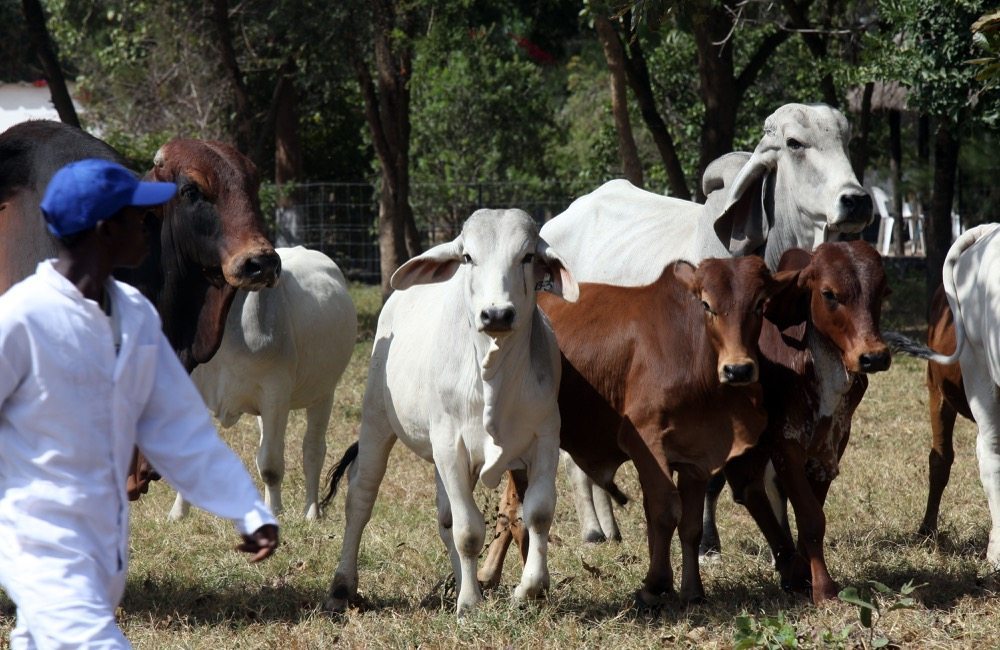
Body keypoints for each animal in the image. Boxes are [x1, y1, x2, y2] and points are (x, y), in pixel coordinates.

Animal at [163, 247, 357, 521]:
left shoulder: (275, 392)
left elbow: (271, 466)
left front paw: (274, 512)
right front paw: (178, 513)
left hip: (323, 393)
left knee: (312, 450)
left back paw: (311, 512)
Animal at [322, 209, 578, 616]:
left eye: (527, 257)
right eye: (468, 257)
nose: (496, 314)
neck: (493, 375)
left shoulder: (545, 438)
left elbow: (537, 512)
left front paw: (528, 589)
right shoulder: (449, 445)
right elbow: (469, 530)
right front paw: (470, 603)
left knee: (445, 516)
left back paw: (461, 582)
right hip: (377, 418)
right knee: (361, 496)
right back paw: (342, 586)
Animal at [484, 256, 794, 605]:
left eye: (760, 304)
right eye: (706, 304)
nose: (738, 369)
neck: (695, 354)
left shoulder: (697, 456)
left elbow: (691, 526)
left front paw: (692, 591)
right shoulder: (644, 440)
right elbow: (664, 511)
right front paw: (655, 585)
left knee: (511, 508)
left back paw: (490, 575)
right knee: (518, 512)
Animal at [722, 241, 891, 604]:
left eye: (883, 291)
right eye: (829, 294)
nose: (874, 357)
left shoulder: (831, 447)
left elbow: (812, 512)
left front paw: (803, 574)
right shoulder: (784, 443)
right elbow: (811, 517)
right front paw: (823, 590)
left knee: (752, 490)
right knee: (747, 489)